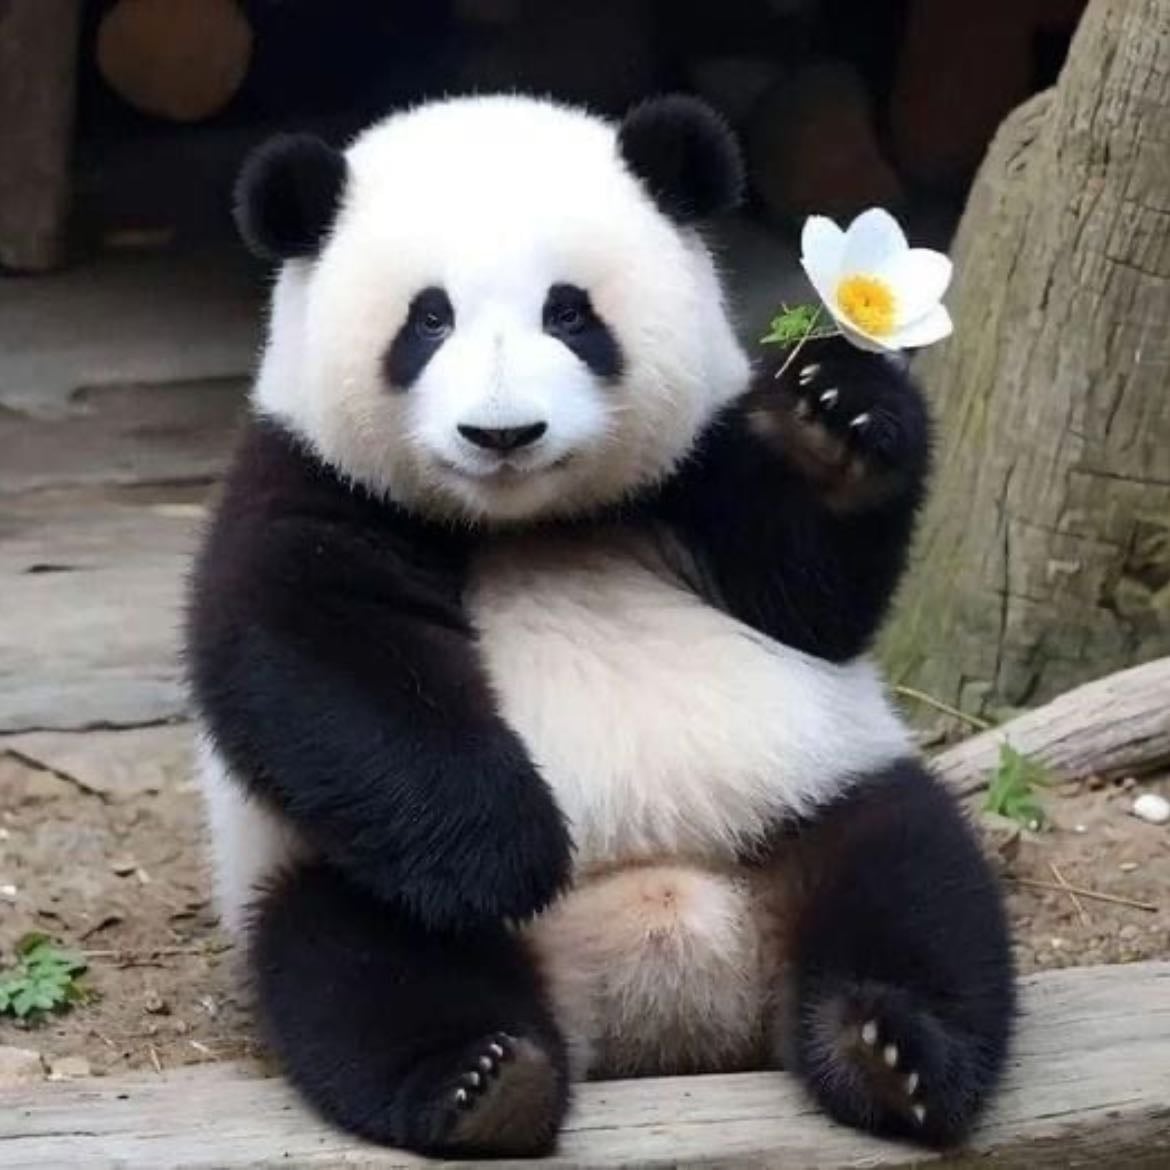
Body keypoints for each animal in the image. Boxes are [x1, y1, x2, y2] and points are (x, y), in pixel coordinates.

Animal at [188, 93, 1013, 1159]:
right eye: (429, 318)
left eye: (569, 312)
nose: (502, 434)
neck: (526, 524)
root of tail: (663, 998)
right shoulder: (305, 478)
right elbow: (309, 659)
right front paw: (508, 852)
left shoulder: (697, 466)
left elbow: (815, 601)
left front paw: (836, 415)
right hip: (326, 865)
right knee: (358, 963)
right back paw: (485, 1081)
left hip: (807, 800)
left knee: (915, 883)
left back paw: (892, 1048)